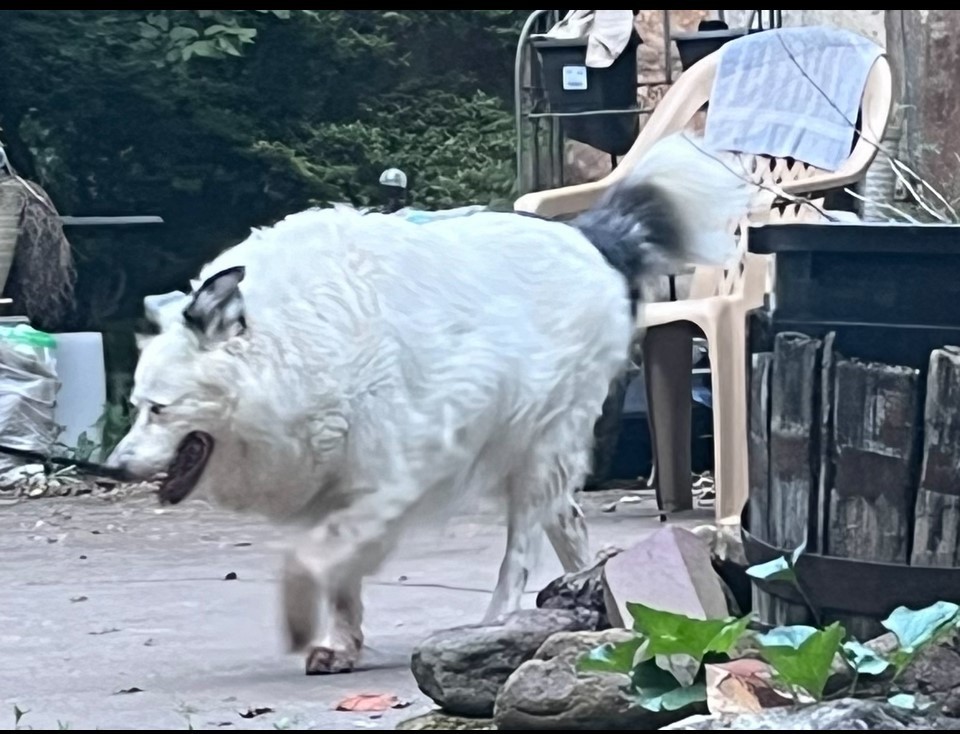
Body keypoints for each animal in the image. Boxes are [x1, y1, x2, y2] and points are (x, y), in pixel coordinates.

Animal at [107, 135, 752, 676]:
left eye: (159, 409)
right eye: (135, 406)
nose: (113, 467)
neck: (287, 344)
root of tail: (587, 238)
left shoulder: (391, 479)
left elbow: (313, 558)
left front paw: (299, 619)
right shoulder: (334, 487)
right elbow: (336, 572)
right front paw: (342, 643)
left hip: (537, 449)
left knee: (521, 551)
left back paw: (496, 622)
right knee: (568, 521)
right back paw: (579, 591)